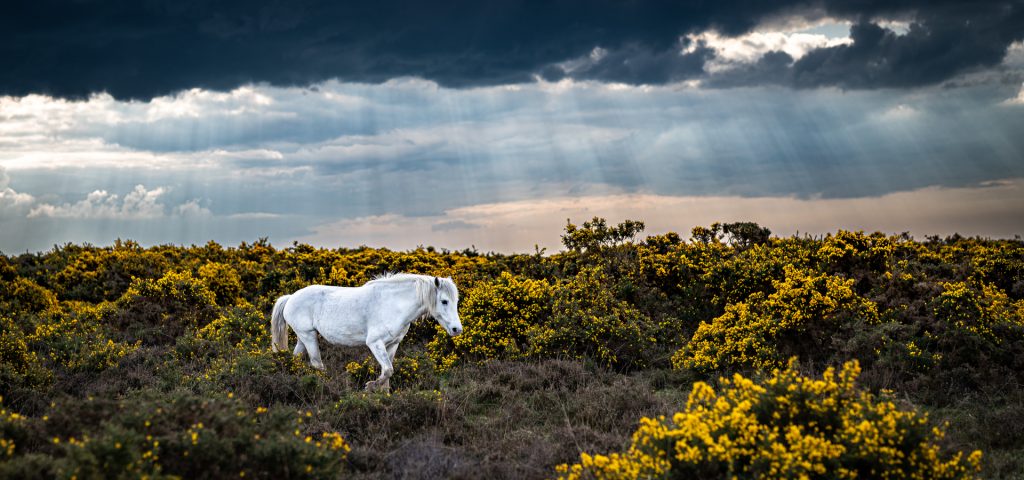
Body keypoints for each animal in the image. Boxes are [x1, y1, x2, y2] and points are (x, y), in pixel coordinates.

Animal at [270, 273, 462, 392]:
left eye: (456, 301)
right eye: (444, 301)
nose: (457, 329)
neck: (393, 304)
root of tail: (290, 297)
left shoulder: (393, 344)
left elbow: (388, 372)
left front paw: (383, 394)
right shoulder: (375, 343)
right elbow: (388, 370)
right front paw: (370, 386)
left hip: (303, 337)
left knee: (295, 359)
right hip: (308, 336)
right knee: (317, 364)